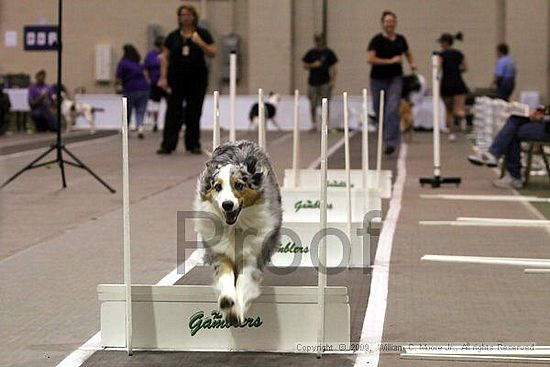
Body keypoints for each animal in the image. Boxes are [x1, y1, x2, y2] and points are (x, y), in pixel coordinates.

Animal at [195, 140, 282, 324]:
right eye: (217, 187)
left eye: (239, 185)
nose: (227, 205)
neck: (234, 227)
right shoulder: (220, 252)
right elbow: (225, 274)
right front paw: (227, 301)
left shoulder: (251, 254)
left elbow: (244, 280)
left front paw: (238, 310)